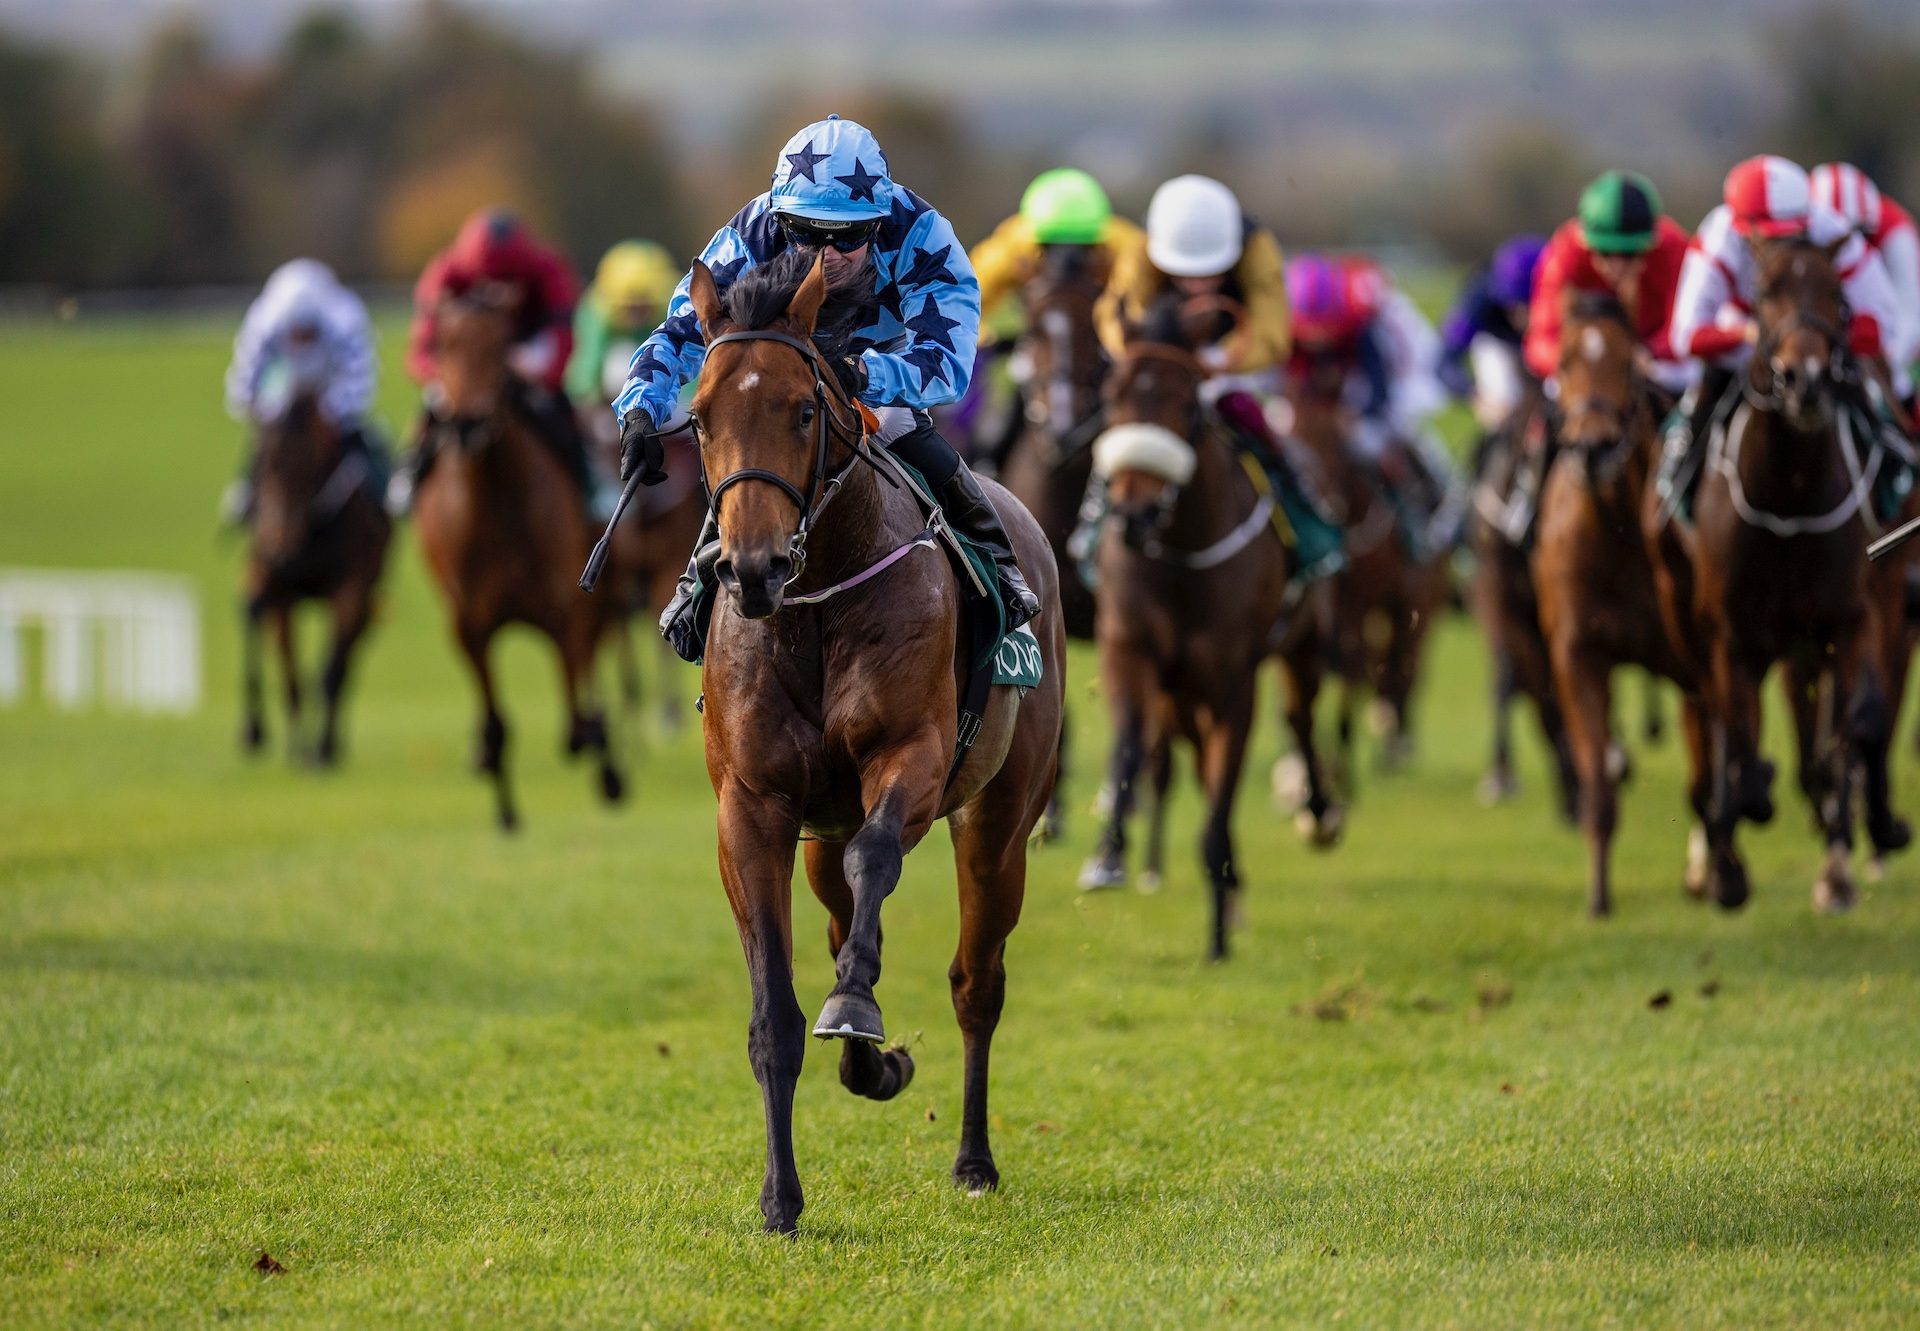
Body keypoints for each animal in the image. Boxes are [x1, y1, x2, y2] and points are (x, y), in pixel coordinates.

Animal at [239, 386, 389, 756]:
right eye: (260, 463)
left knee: (346, 660)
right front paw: (265, 733)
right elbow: (286, 666)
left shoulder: (352, 586)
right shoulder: (276, 585)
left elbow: (332, 670)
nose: (280, 546)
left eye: (310, 465)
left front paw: (321, 750)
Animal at [416, 295, 625, 825]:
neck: (494, 504)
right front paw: (504, 808)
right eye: (443, 344)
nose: (468, 424)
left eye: (500, 343)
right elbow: (495, 725)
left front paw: (599, 753)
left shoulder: (565, 610)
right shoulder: (469, 624)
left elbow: (577, 718)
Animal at [679, 251, 1067, 1236]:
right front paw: (780, 1197)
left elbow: (881, 856)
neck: (815, 606)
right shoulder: (753, 808)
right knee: (837, 913)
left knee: (976, 980)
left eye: (802, 410)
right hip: (819, 834)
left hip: (1000, 822)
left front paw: (857, 1004)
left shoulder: (914, 759)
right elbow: (776, 1014)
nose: (751, 569)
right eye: (698, 416)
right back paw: (871, 1060)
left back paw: (973, 1156)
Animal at [1536, 290, 1704, 914]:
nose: (1593, 448)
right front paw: (1598, 897)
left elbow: (1709, 773)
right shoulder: (1577, 655)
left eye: (1628, 363)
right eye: (1563, 363)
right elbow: (1598, 786)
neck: (1619, 532)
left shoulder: (1692, 660)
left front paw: (1716, 875)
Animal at [1651, 239, 1904, 910]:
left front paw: (1840, 868)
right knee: (1714, 718)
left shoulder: (1851, 617)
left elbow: (1853, 728)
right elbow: (1737, 738)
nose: (1805, 379)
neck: (1790, 493)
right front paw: (1730, 861)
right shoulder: (1731, 635)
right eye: (1762, 293)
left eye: (1837, 296)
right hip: (1687, 615)